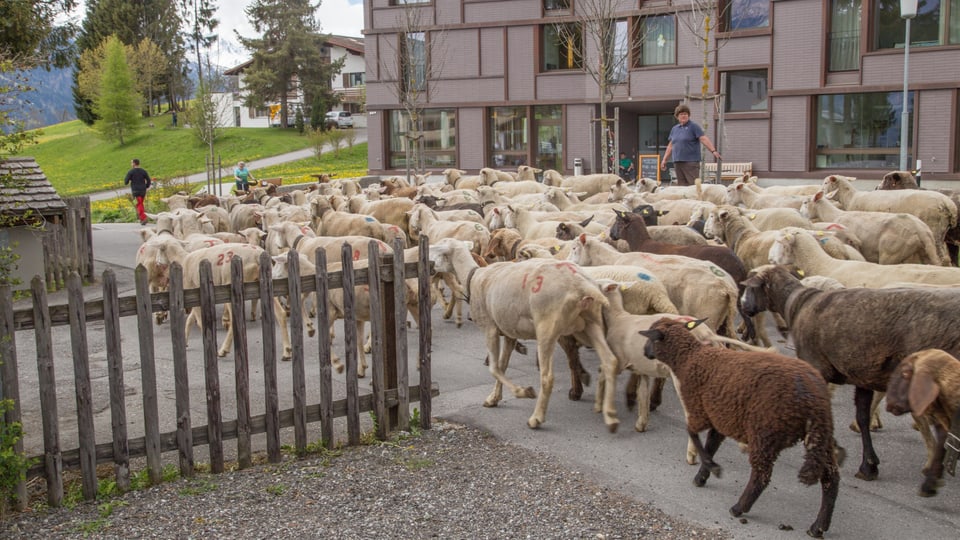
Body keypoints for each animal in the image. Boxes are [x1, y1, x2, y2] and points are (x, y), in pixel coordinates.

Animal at [640, 318, 844, 536]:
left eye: (651, 337)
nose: (644, 352)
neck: (690, 358)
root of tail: (814, 397)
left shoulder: (699, 410)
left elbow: (694, 435)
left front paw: (713, 468)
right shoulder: (719, 416)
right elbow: (711, 444)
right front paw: (702, 475)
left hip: (766, 432)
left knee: (762, 475)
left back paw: (739, 508)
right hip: (820, 436)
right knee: (831, 478)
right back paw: (818, 526)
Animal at [744, 264, 960, 480]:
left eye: (751, 286)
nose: (745, 307)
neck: (798, 304)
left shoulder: (817, 368)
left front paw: (833, 450)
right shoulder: (863, 377)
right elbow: (862, 417)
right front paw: (868, 465)